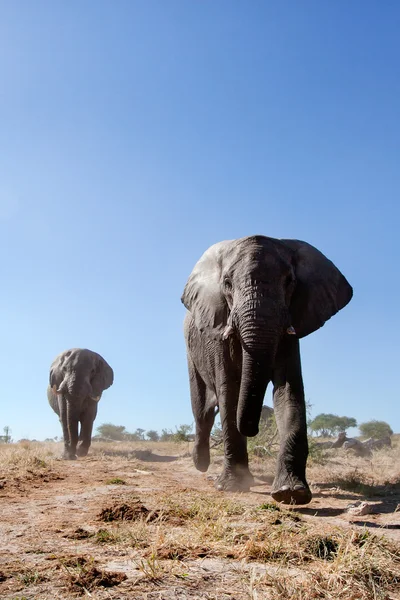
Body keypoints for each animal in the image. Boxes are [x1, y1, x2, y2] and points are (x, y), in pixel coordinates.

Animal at [181, 234, 354, 502]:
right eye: (227, 283)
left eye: (289, 281)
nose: (254, 428)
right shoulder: (219, 332)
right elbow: (230, 393)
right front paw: (231, 486)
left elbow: (288, 391)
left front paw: (291, 493)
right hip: (191, 351)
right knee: (202, 410)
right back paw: (200, 462)